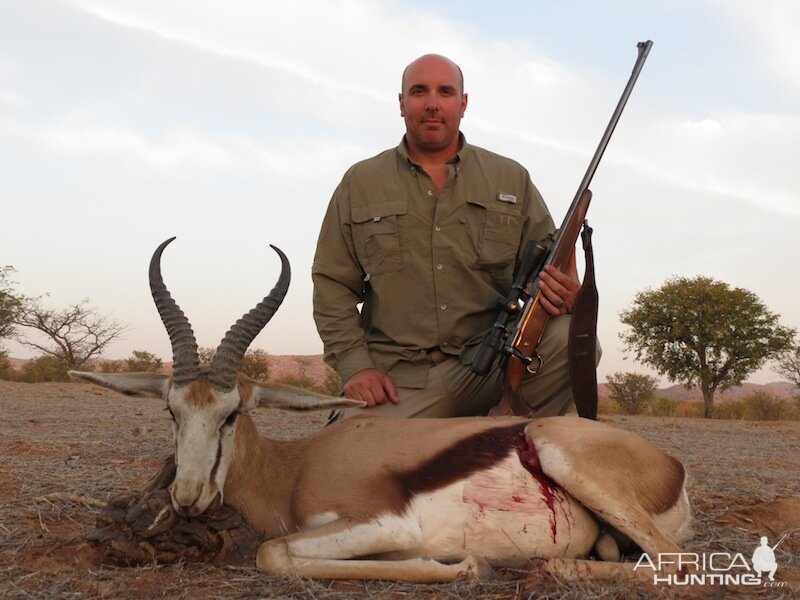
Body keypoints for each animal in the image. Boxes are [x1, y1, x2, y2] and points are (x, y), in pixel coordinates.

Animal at [72, 238, 692, 580]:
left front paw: (465, 566)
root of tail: (673, 468)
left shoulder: (384, 520)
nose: (188, 496)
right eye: (171, 412)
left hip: (556, 448)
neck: (292, 470)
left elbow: (272, 552)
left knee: (678, 565)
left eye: (231, 414)